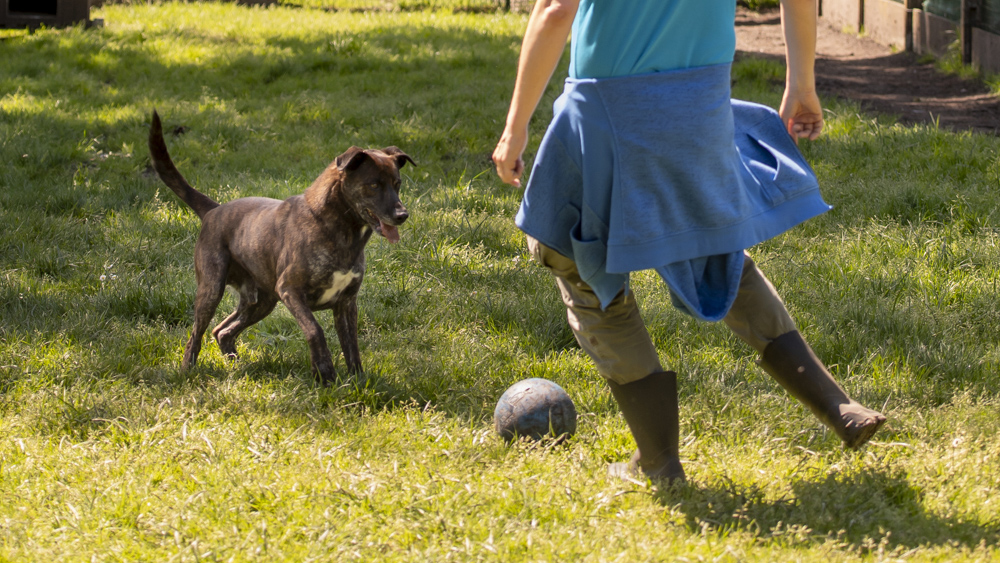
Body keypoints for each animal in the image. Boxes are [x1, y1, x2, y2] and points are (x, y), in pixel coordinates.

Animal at [148, 110, 414, 384]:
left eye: (397, 183)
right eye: (373, 185)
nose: (403, 215)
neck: (338, 228)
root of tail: (214, 210)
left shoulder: (346, 303)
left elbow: (352, 346)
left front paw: (357, 382)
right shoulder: (290, 290)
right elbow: (315, 330)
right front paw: (324, 373)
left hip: (260, 302)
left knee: (222, 330)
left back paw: (236, 364)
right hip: (211, 289)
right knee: (196, 335)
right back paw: (186, 371)